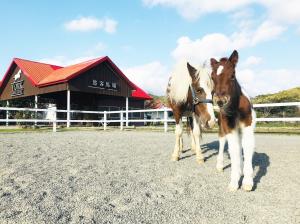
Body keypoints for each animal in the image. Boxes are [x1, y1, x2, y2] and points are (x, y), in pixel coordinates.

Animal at [211, 50, 255, 191]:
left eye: (233, 75)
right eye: (212, 77)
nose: (220, 101)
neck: (235, 108)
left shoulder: (247, 126)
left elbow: (246, 147)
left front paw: (247, 182)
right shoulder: (229, 128)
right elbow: (234, 149)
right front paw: (234, 182)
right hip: (222, 126)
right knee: (222, 141)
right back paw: (220, 165)